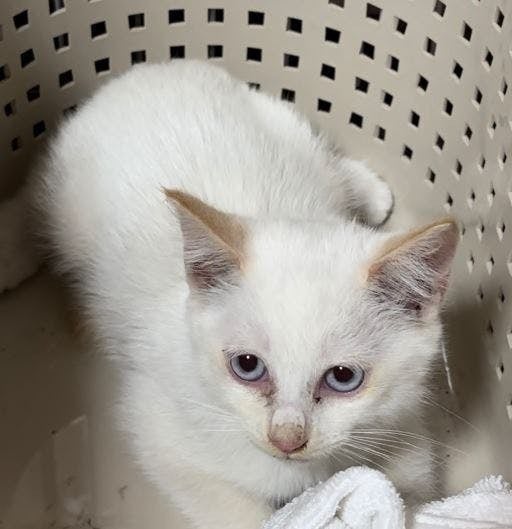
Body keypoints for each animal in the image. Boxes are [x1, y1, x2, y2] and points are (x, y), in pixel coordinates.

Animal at [13, 60, 457, 528]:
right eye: (247, 365)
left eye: (343, 377)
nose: (286, 438)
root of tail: (152, 70)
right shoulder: (160, 427)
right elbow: (228, 503)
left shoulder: (403, 422)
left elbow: (408, 483)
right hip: (64, 193)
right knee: (32, 202)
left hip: (281, 121)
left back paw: (369, 190)